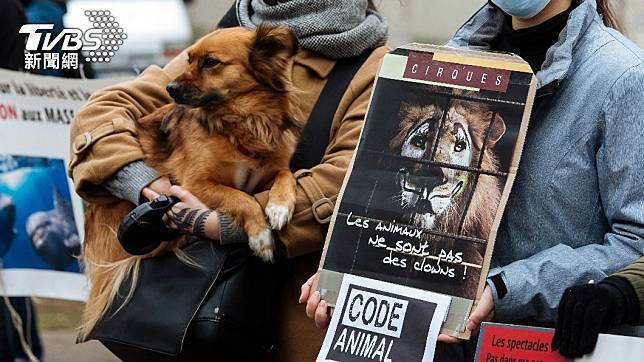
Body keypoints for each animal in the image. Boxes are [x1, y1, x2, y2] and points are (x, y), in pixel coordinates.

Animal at [80, 26, 302, 340]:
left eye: (211, 62)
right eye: (188, 59)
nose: (170, 88)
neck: (240, 120)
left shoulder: (271, 169)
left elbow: (287, 175)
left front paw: (279, 207)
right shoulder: (195, 183)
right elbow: (242, 199)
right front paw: (261, 238)